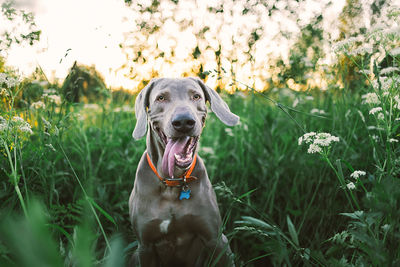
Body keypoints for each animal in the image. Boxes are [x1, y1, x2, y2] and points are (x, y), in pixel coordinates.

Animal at [130, 76, 239, 266]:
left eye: (196, 96)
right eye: (161, 98)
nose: (183, 122)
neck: (173, 182)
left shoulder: (216, 239)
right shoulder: (145, 247)